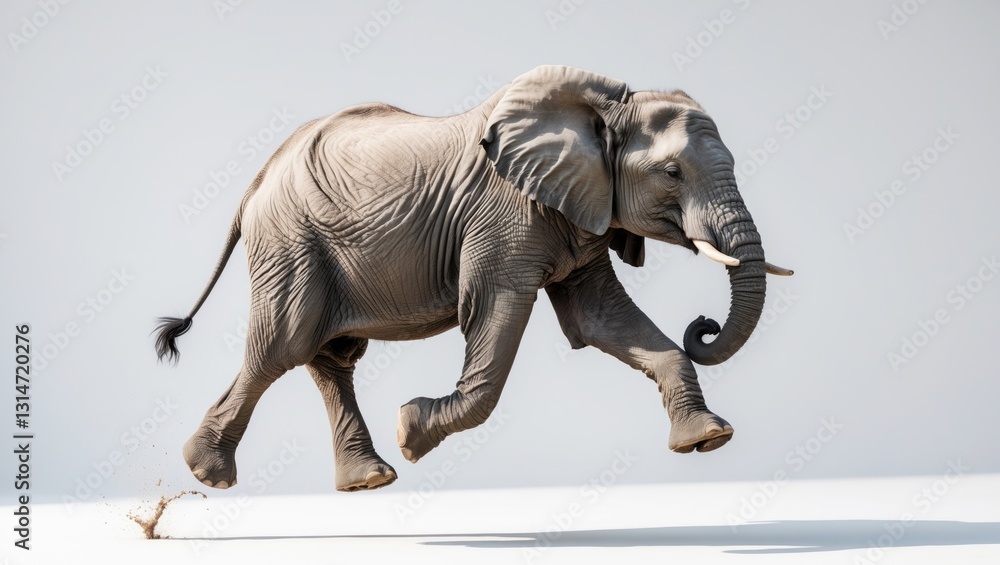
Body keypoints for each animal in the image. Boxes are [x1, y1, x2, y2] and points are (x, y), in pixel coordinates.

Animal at [155, 65, 792, 492]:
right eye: (671, 172)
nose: (703, 325)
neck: (602, 109)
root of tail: (254, 186)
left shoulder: (577, 211)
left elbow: (602, 320)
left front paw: (708, 438)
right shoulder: (504, 213)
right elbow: (496, 313)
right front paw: (412, 428)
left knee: (329, 355)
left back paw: (369, 480)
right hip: (290, 244)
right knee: (282, 347)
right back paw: (206, 473)